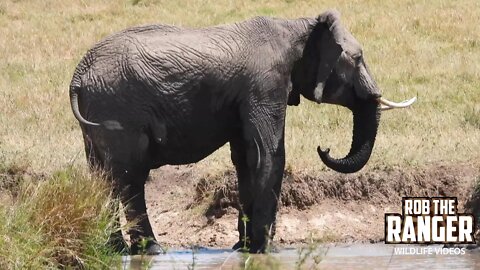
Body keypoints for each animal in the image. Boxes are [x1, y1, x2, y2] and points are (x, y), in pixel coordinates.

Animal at [69, 10, 414, 254]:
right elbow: (269, 154)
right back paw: (151, 250)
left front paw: (243, 248)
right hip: (119, 108)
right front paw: (264, 250)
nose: (324, 148)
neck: (297, 28)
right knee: (129, 177)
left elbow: (246, 158)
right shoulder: (265, 85)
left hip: (99, 114)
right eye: (357, 58)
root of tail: (79, 74)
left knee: (101, 176)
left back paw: (115, 250)